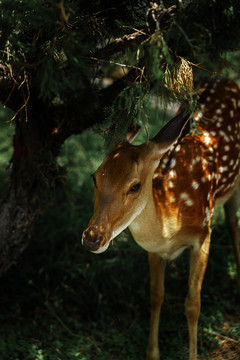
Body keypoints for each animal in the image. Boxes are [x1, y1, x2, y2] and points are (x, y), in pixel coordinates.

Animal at [82, 76, 240, 360]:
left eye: (134, 186)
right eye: (95, 177)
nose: (92, 238)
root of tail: (225, 78)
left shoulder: (204, 234)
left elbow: (193, 304)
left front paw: (193, 355)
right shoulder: (153, 250)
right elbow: (156, 295)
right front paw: (152, 352)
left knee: (233, 222)